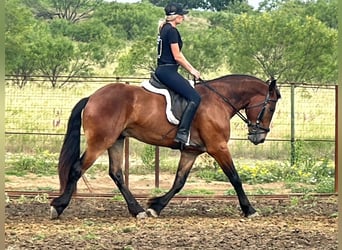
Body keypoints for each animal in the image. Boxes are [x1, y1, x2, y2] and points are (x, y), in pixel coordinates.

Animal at [50, 74, 280, 219]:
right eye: (271, 107)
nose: (259, 137)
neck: (219, 100)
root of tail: (92, 98)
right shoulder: (218, 147)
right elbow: (235, 178)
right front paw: (250, 209)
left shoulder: (191, 151)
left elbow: (179, 182)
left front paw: (156, 207)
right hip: (100, 141)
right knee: (77, 168)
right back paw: (58, 207)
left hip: (116, 140)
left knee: (116, 173)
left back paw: (137, 210)